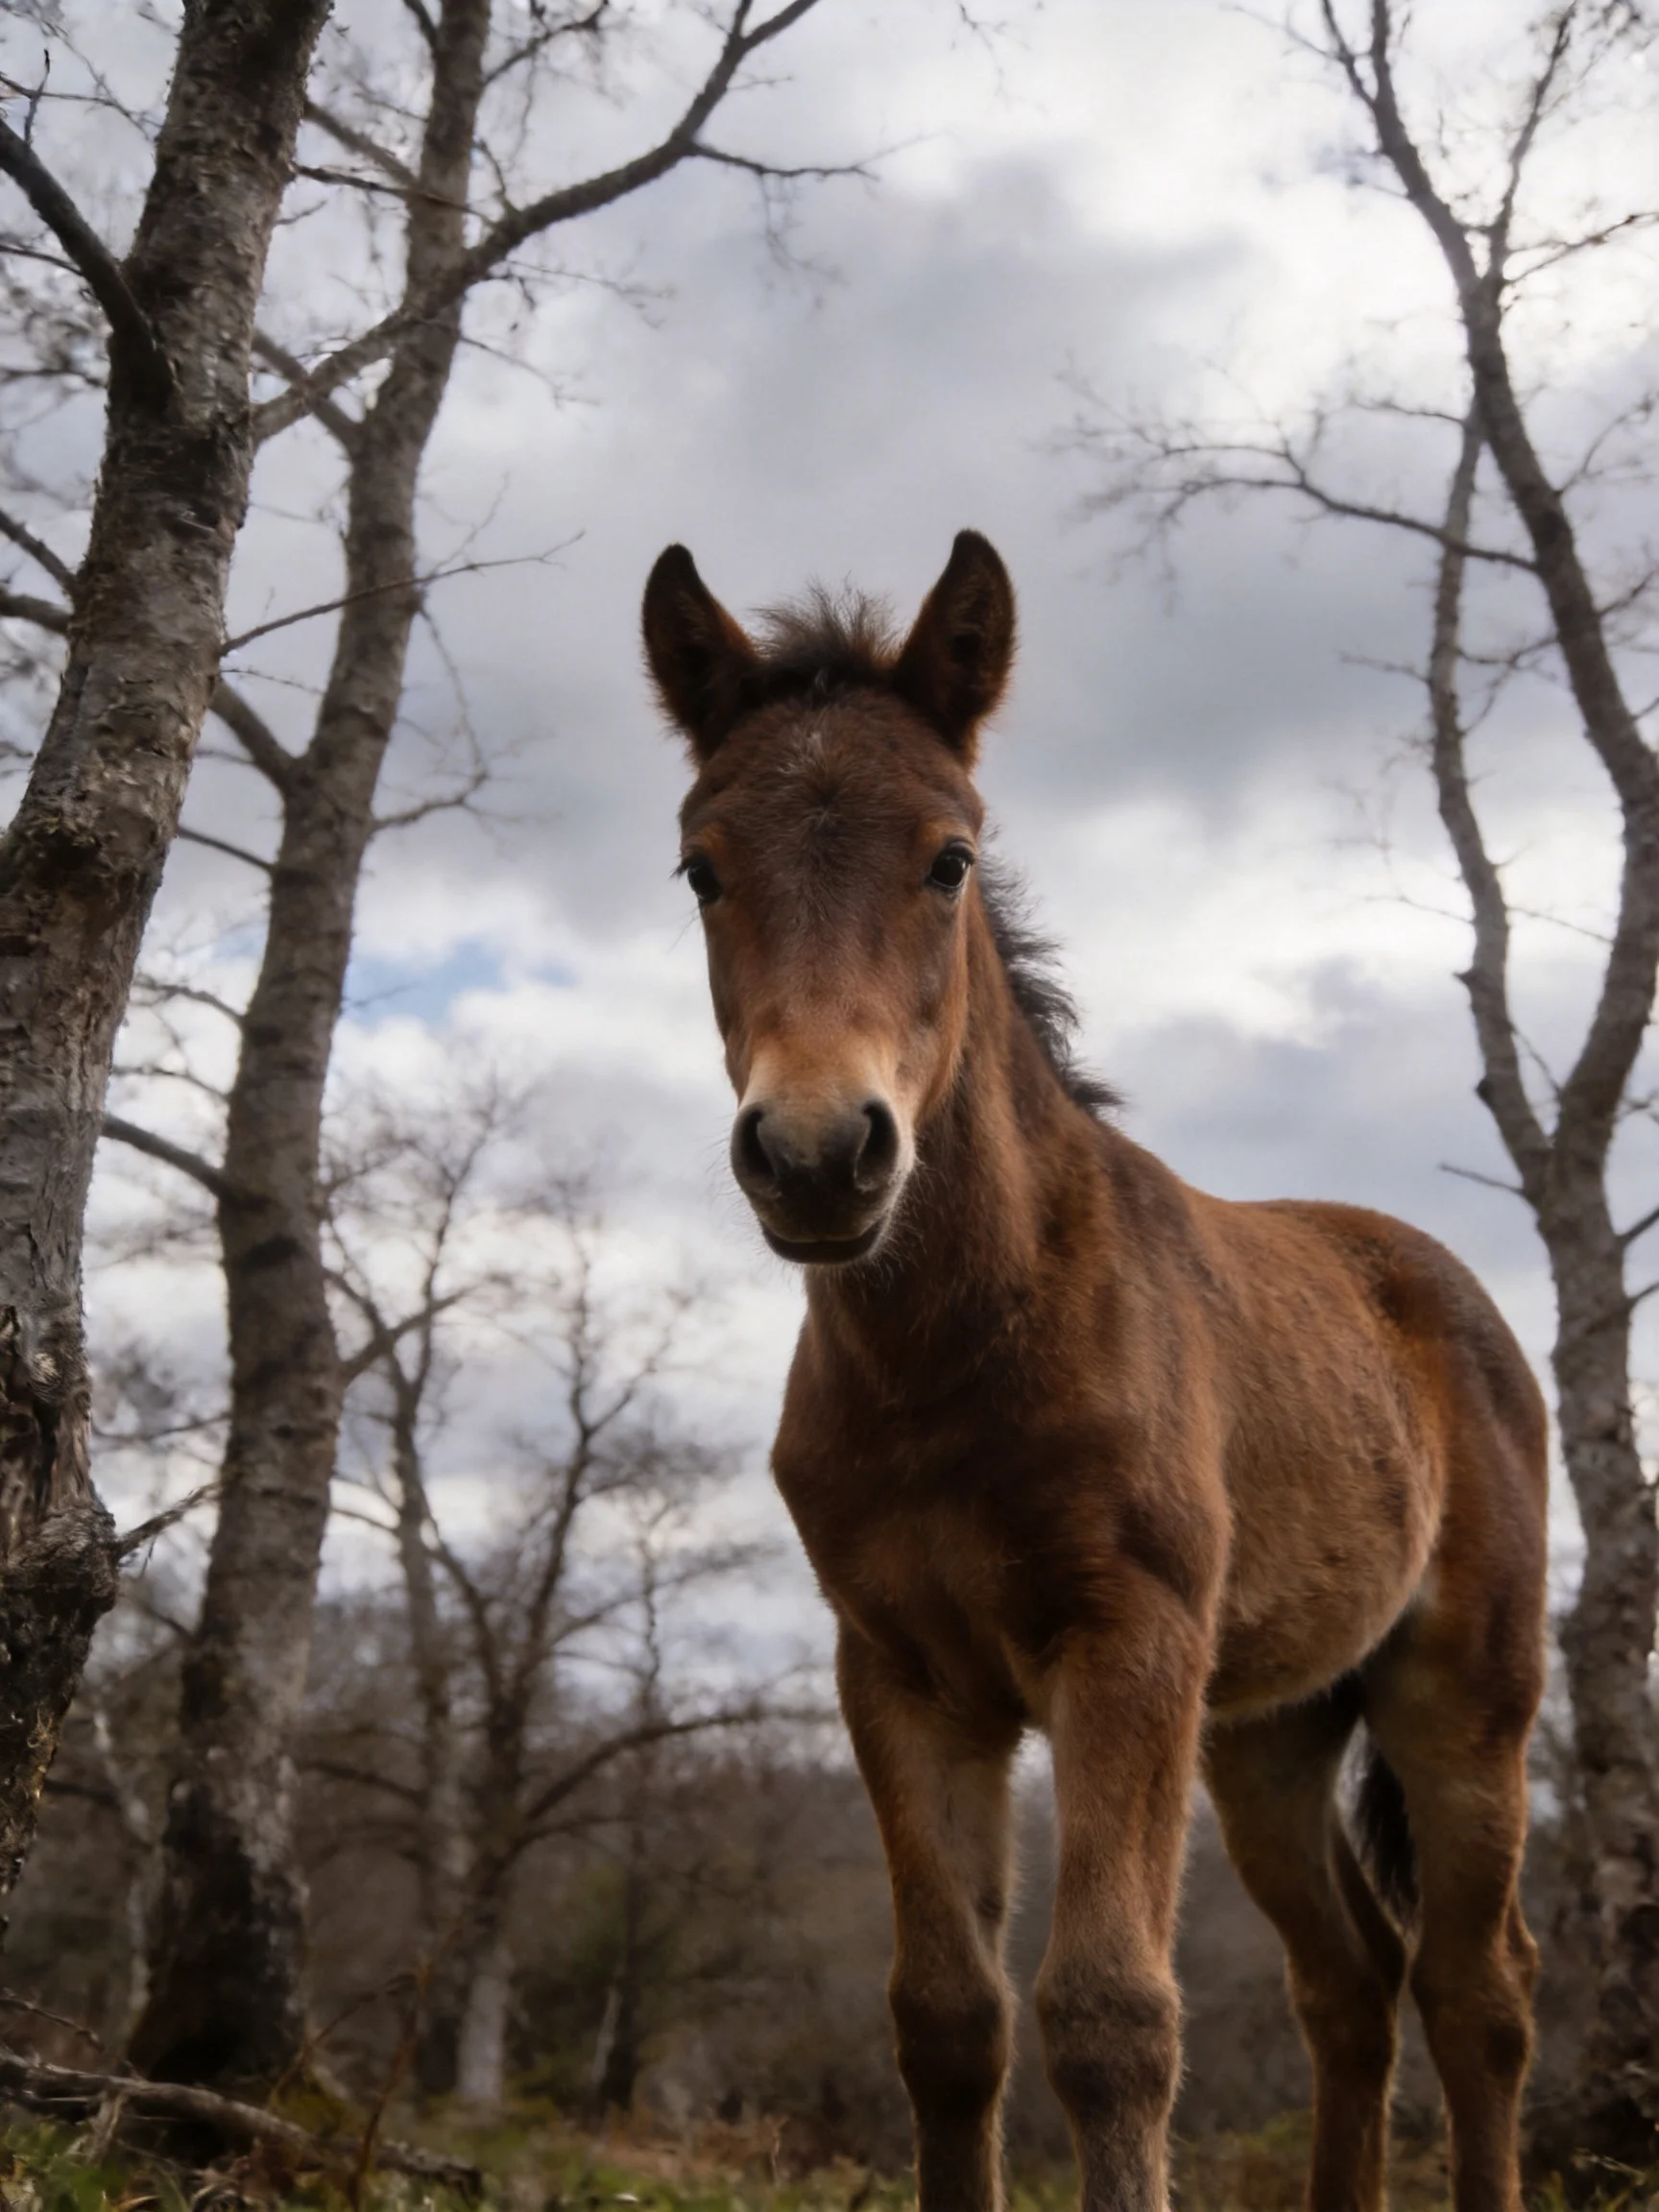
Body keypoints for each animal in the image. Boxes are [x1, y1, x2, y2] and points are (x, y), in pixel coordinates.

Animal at [643, 530, 1547, 2212]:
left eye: (948, 859)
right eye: (701, 869)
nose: (819, 1154)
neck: (952, 1359)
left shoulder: (1124, 1645)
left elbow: (1113, 2018)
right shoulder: (903, 1674)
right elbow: (947, 2018)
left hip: (1464, 1699)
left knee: (1480, 1989)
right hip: (1268, 1732)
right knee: (1352, 1981)